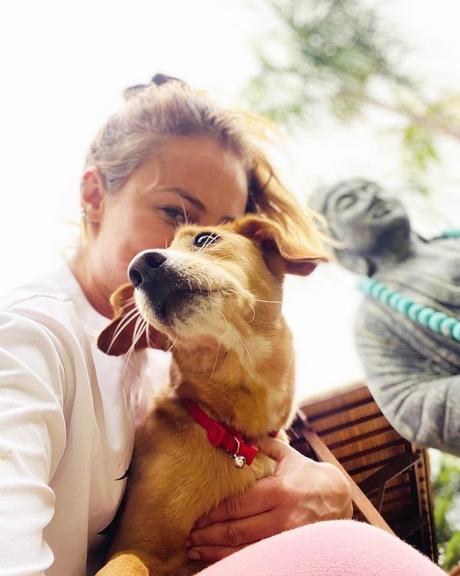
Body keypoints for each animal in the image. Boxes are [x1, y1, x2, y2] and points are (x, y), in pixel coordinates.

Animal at [96, 214, 328, 572]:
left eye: (205, 239)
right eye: (133, 276)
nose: (139, 268)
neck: (232, 433)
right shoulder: (135, 546)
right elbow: (129, 564)